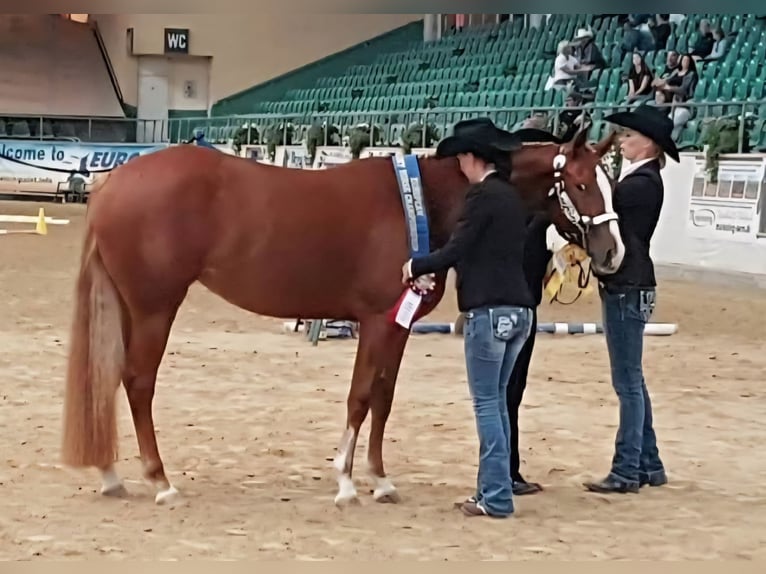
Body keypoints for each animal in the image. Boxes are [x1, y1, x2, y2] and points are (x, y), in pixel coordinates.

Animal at [60, 126, 623, 507]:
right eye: (579, 184)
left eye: (608, 181)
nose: (612, 253)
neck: (423, 204)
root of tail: (112, 184)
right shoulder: (375, 320)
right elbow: (359, 396)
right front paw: (348, 482)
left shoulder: (398, 323)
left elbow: (383, 396)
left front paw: (380, 480)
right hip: (155, 307)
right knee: (138, 382)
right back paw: (161, 481)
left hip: (131, 307)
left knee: (110, 377)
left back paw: (112, 476)